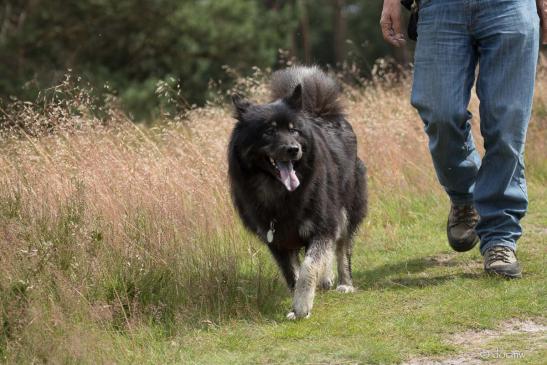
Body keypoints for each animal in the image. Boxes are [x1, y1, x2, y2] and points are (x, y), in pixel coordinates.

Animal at [227, 66, 368, 318]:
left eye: (294, 131)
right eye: (269, 132)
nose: (294, 149)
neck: (280, 194)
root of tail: (321, 111)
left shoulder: (322, 226)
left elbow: (308, 267)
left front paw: (302, 306)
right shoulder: (276, 241)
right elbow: (292, 274)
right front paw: (296, 303)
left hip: (346, 211)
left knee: (342, 248)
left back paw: (345, 283)